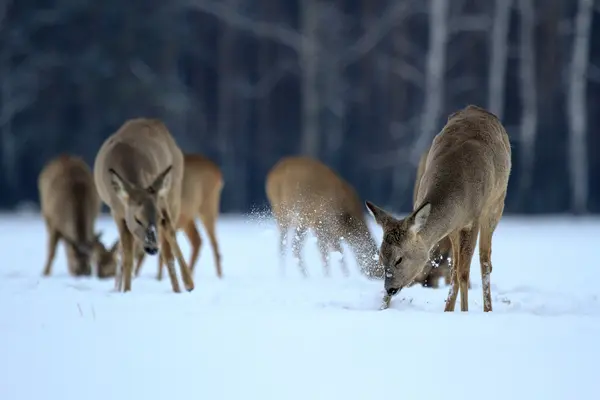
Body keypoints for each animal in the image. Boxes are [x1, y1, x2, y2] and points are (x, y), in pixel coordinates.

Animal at [93, 117, 195, 292]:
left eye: (159, 217)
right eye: (137, 218)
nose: (152, 248)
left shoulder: (159, 199)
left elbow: (170, 237)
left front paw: (189, 284)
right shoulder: (117, 212)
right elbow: (127, 255)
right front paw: (126, 290)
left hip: (173, 192)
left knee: (168, 244)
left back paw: (182, 287)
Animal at [132, 153, 224, 282]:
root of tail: (218, 173)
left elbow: (162, 254)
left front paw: (158, 279)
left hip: (207, 206)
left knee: (213, 243)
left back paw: (218, 276)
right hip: (189, 217)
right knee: (197, 240)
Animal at [366, 105, 510, 312]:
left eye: (399, 259)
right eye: (380, 257)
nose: (389, 289)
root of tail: (477, 108)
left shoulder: (473, 219)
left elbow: (464, 272)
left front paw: (465, 312)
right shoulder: (454, 225)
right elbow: (456, 269)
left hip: (496, 204)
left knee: (484, 261)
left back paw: (487, 309)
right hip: (456, 229)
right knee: (455, 266)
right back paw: (448, 309)